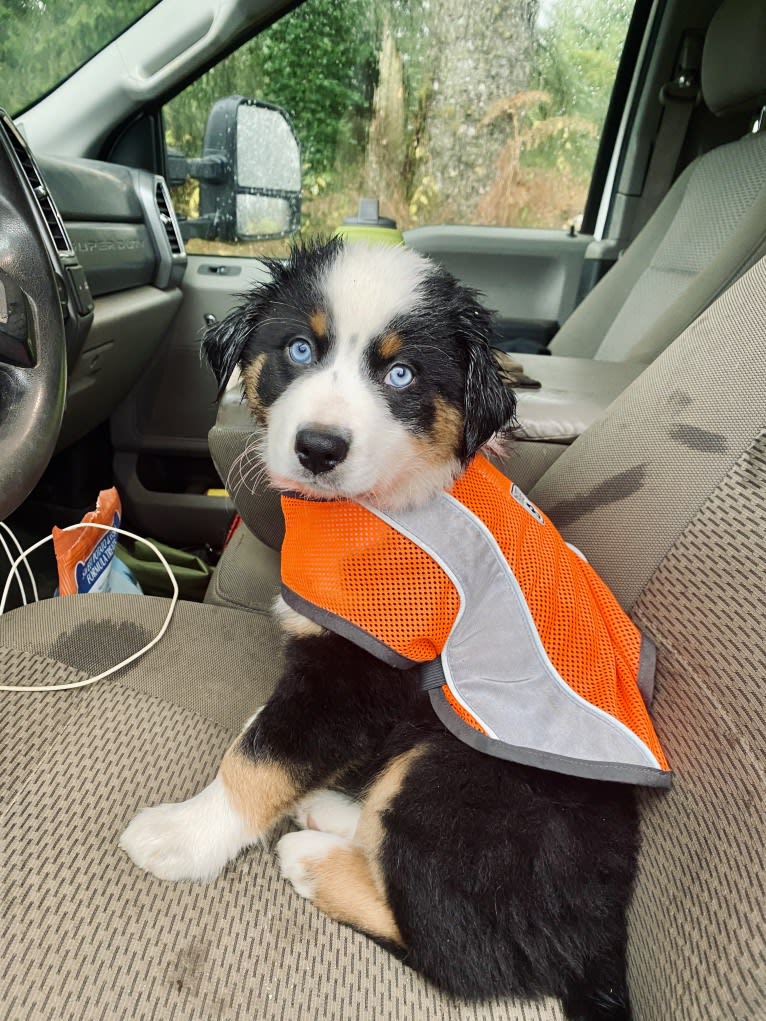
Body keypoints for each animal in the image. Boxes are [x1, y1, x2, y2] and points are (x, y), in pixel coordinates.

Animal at [121, 236, 637, 1021]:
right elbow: (273, 735)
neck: (379, 504)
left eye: (401, 373)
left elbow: (264, 757)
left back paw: (313, 859)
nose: (319, 447)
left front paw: (184, 837)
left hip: (460, 775)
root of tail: (605, 942)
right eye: (299, 348)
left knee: (462, 950)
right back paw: (334, 811)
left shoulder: (362, 672)